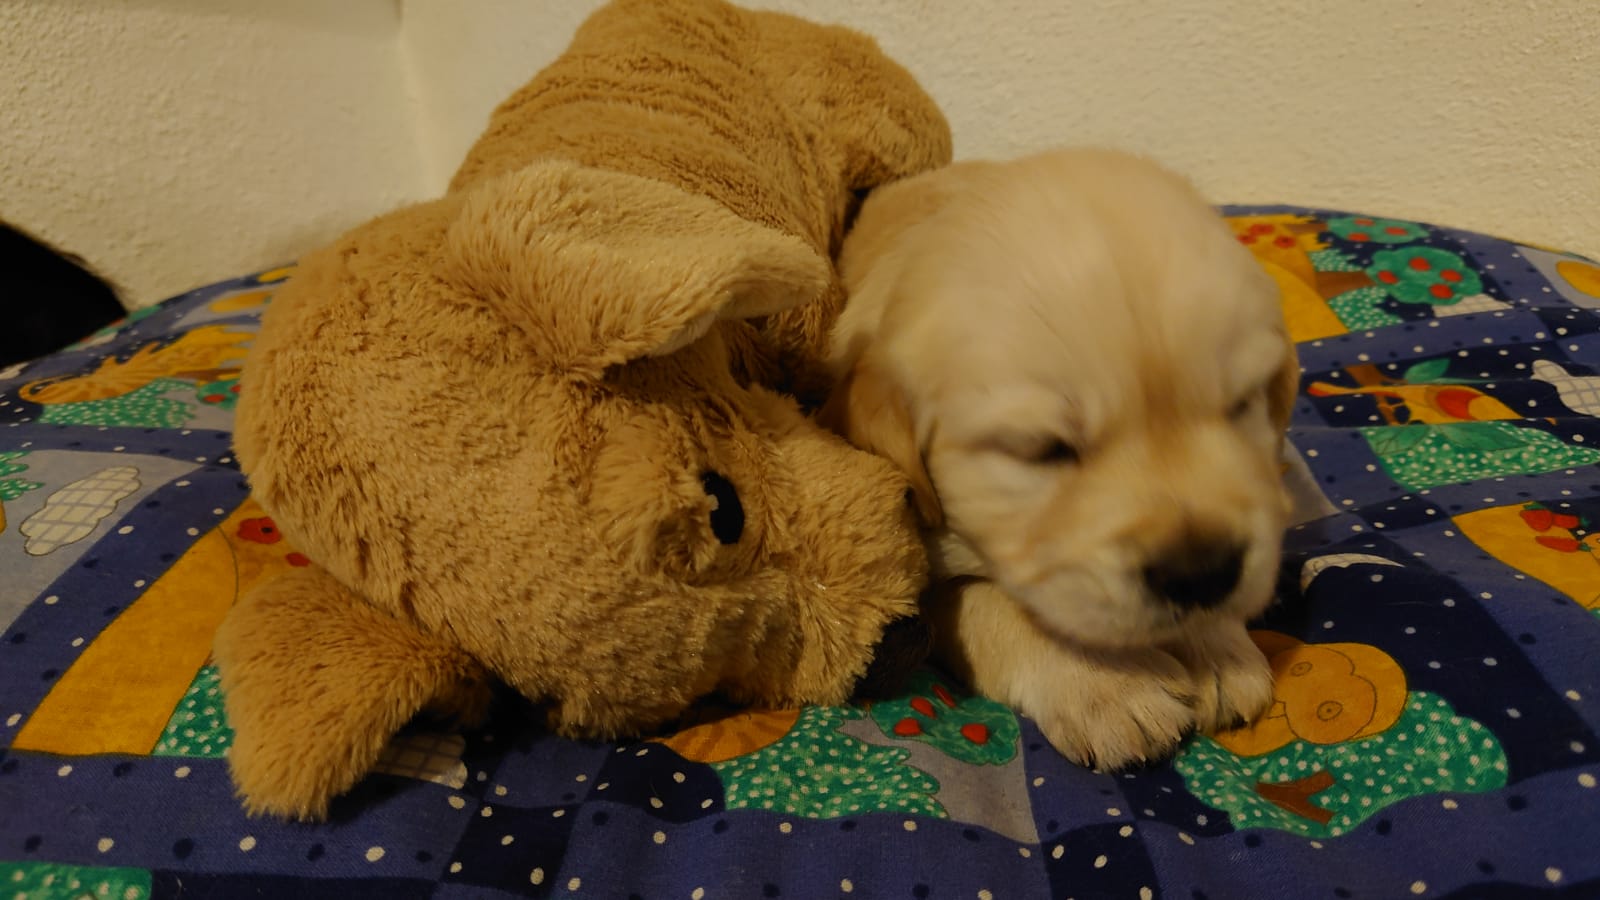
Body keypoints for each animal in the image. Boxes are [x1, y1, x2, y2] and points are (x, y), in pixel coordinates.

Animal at [822, 148, 1299, 768]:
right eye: (1044, 449)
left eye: (1240, 405)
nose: (1202, 573)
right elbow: (991, 601)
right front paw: (1107, 685)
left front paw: (1215, 644)